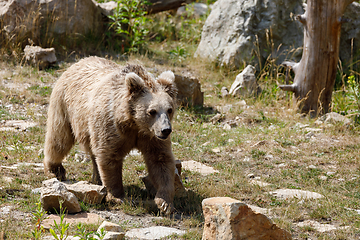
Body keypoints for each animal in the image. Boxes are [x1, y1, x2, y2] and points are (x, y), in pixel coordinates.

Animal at [43, 56, 177, 214]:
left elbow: (161, 161)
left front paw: (165, 203)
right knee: (59, 138)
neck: (134, 123)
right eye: (152, 111)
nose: (166, 130)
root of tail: (78, 62)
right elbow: (109, 157)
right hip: (65, 106)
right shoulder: (111, 126)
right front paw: (117, 196)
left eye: (169, 109)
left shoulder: (151, 137)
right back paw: (56, 169)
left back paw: (96, 178)